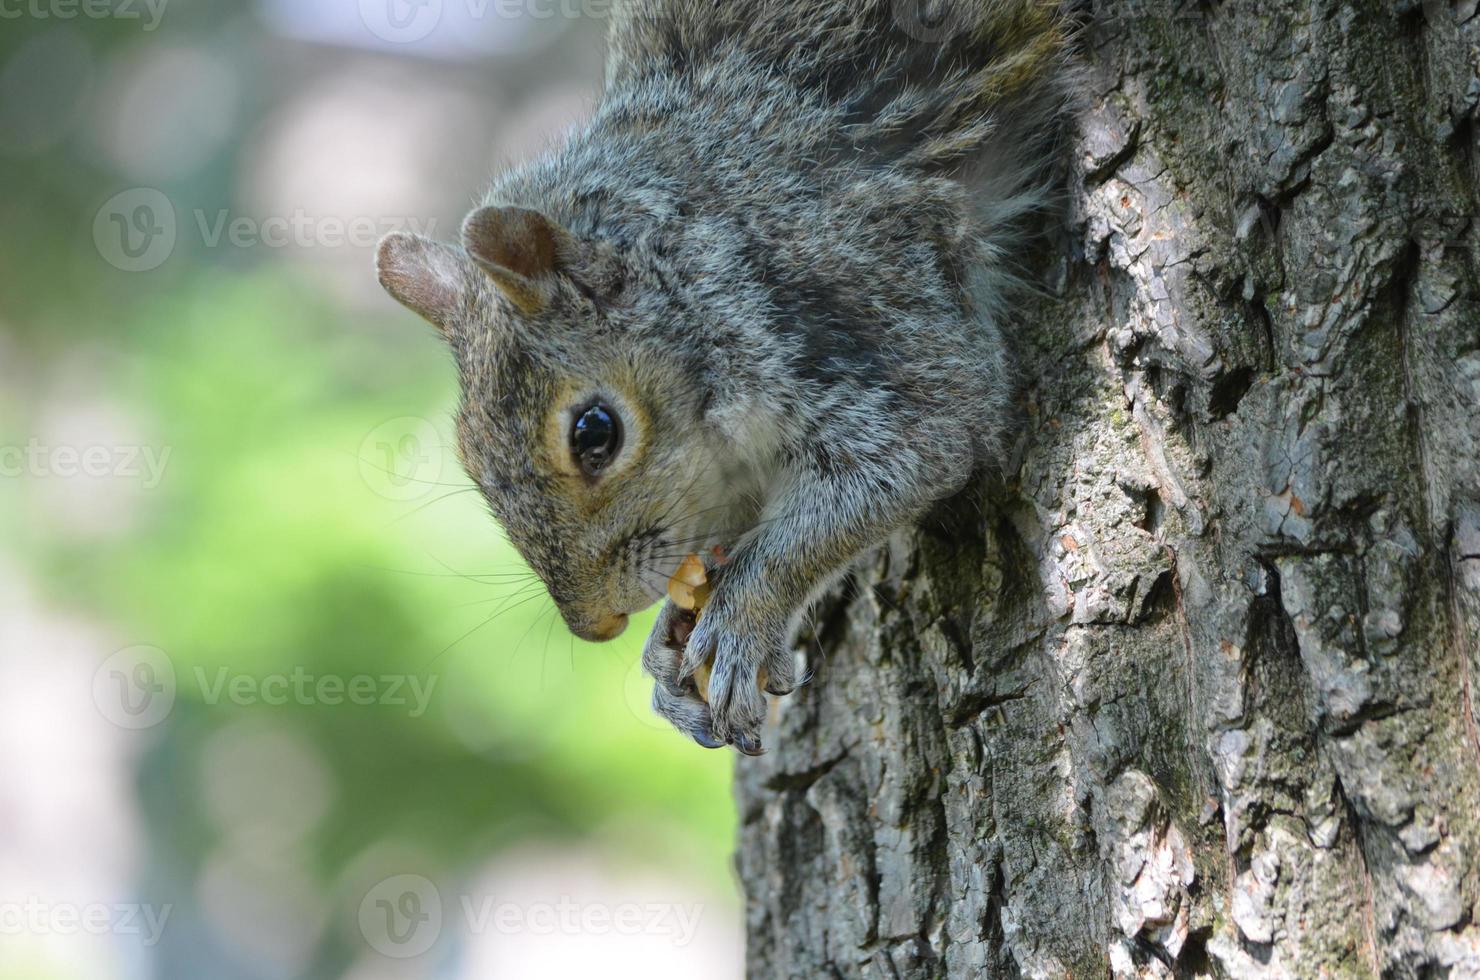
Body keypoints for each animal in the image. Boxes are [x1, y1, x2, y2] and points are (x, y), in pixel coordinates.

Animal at [375, 0, 1083, 754]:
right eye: (468, 457)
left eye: (596, 434)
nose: (596, 627)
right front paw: (668, 645)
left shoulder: (859, 302)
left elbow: (915, 449)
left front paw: (744, 615)